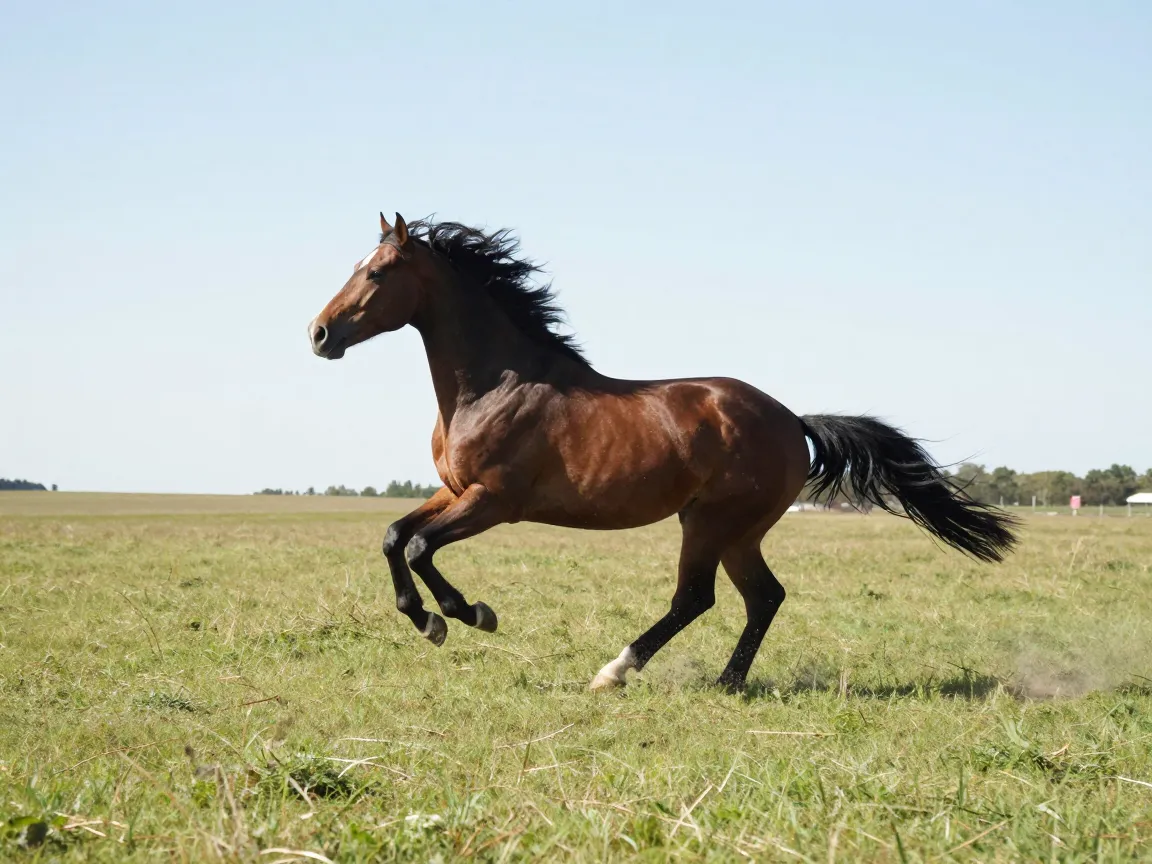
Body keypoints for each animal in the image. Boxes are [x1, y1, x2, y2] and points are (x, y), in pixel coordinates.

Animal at [307, 212, 1017, 692]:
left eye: (376, 272)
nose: (319, 334)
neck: (494, 385)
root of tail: (793, 421)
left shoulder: (493, 502)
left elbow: (421, 548)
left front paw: (467, 614)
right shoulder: (454, 491)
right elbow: (395, 536)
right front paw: (427, 620)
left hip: (712, 521)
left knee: (696, 598)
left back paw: (616, 671)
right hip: (736, 531)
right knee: (763, 596)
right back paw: (727, 683)